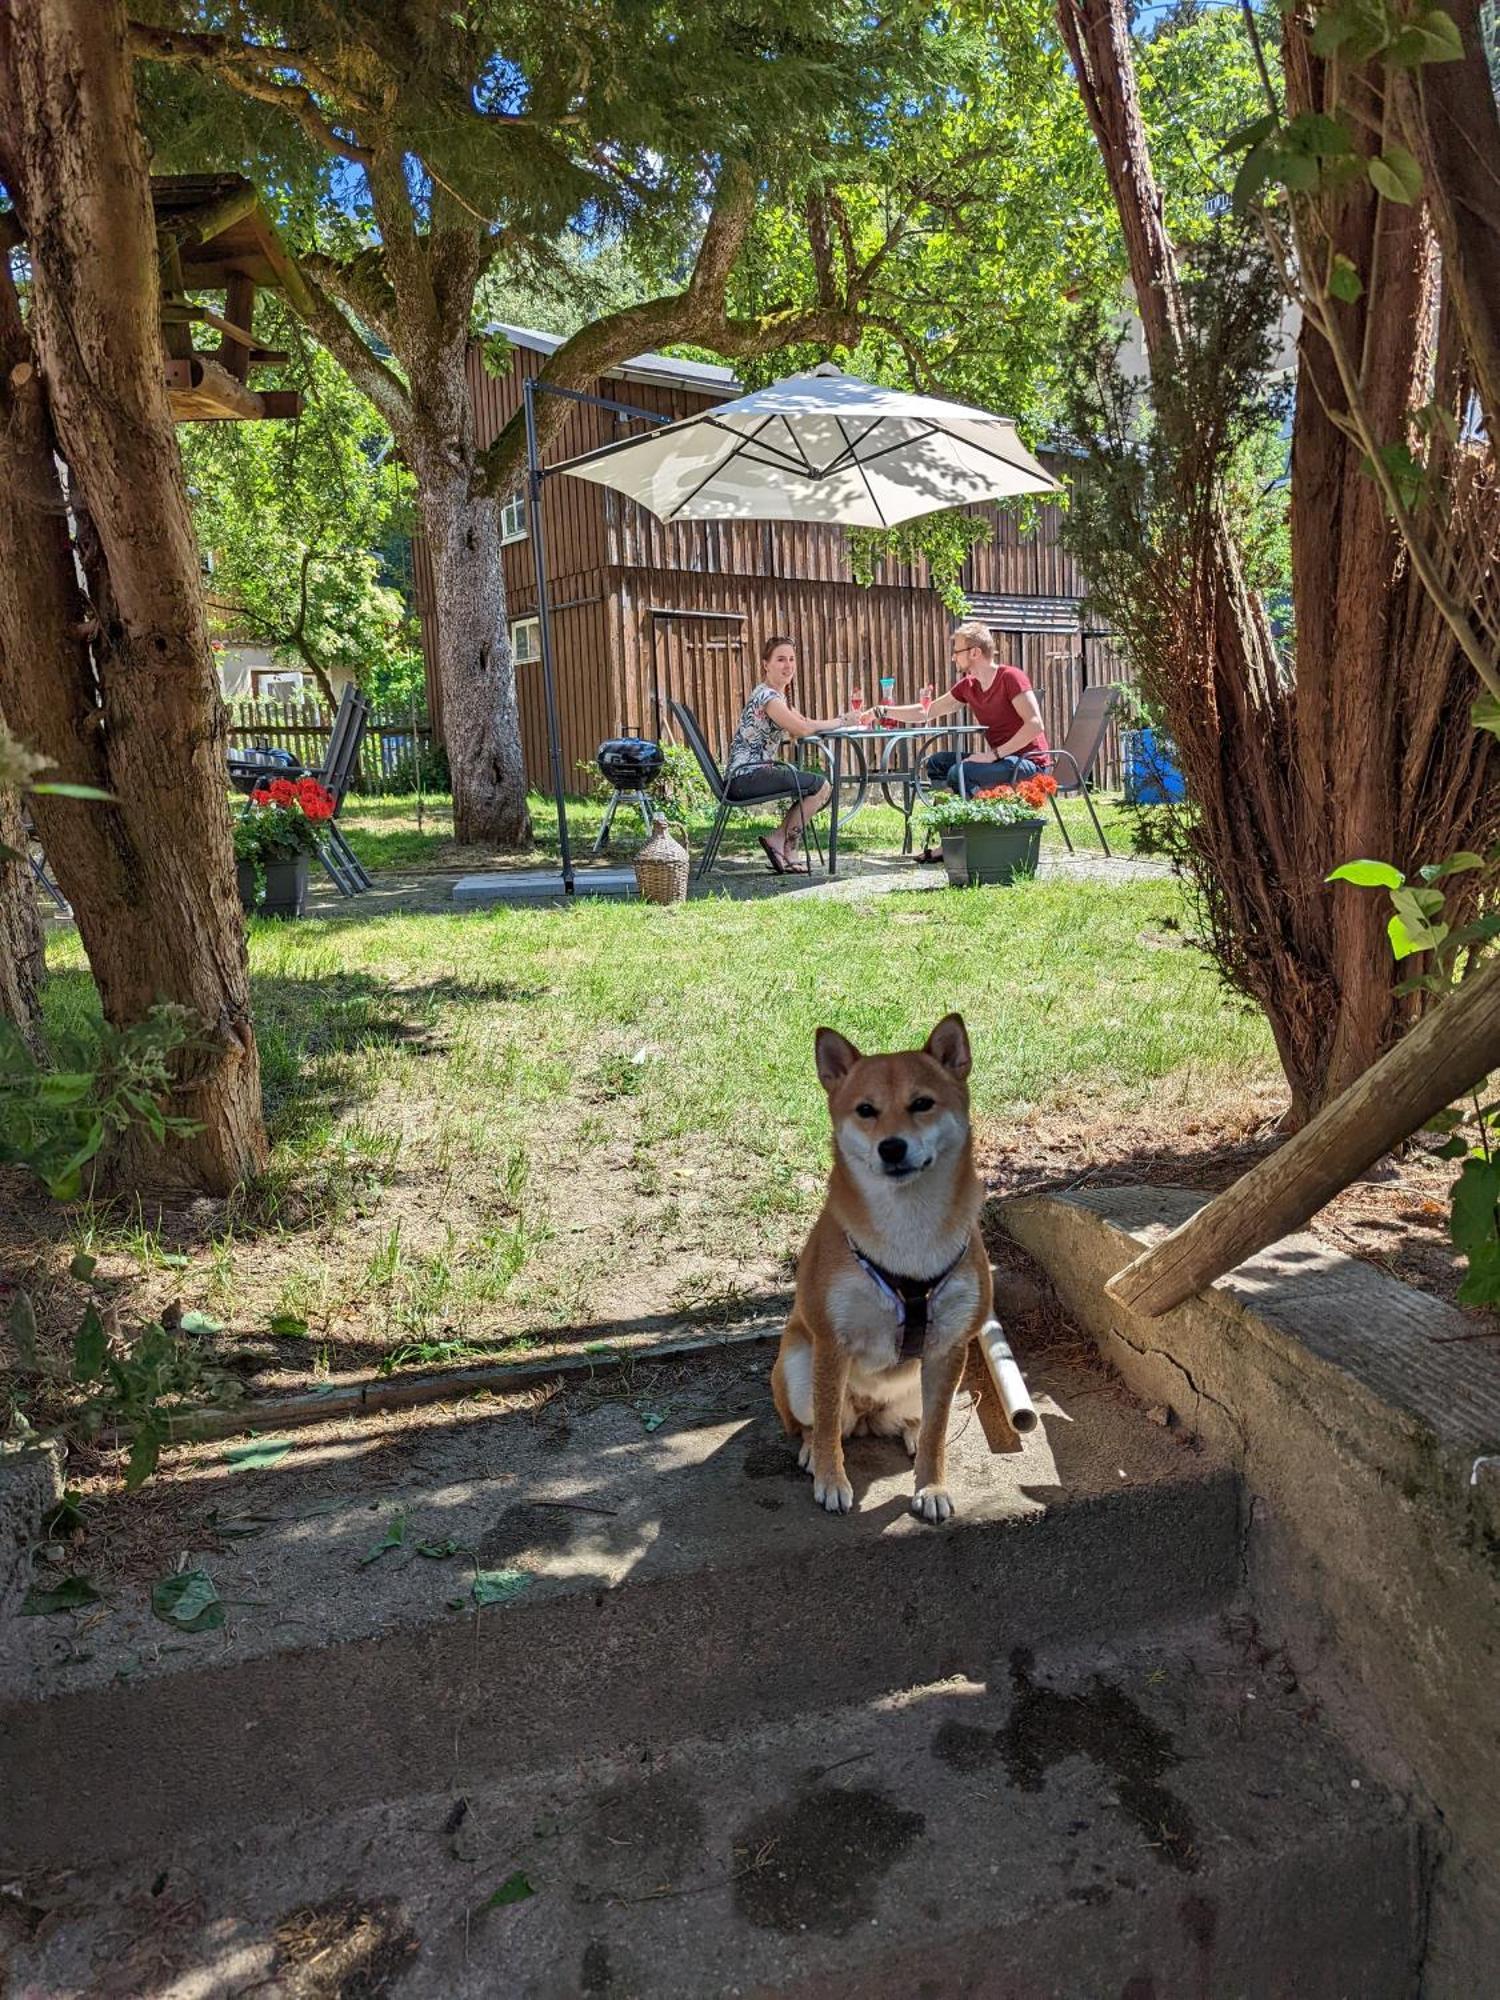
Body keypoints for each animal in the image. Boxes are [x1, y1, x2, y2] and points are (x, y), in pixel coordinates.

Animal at [776, 1008, 1000, 1520]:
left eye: (922, 1104)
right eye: (866, 1110)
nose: (891, 1147)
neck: (908, 1233)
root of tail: (866, 1414)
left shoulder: (950, 1347)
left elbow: (938, 1430)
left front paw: (932, 1486)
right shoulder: (832, 1343)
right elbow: (826, 1428)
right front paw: (831, 1480)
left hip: (934, 1381)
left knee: (919, 1420)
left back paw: (912, 1433)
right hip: (798, 1365)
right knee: (819, 1425)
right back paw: (811, 1451)